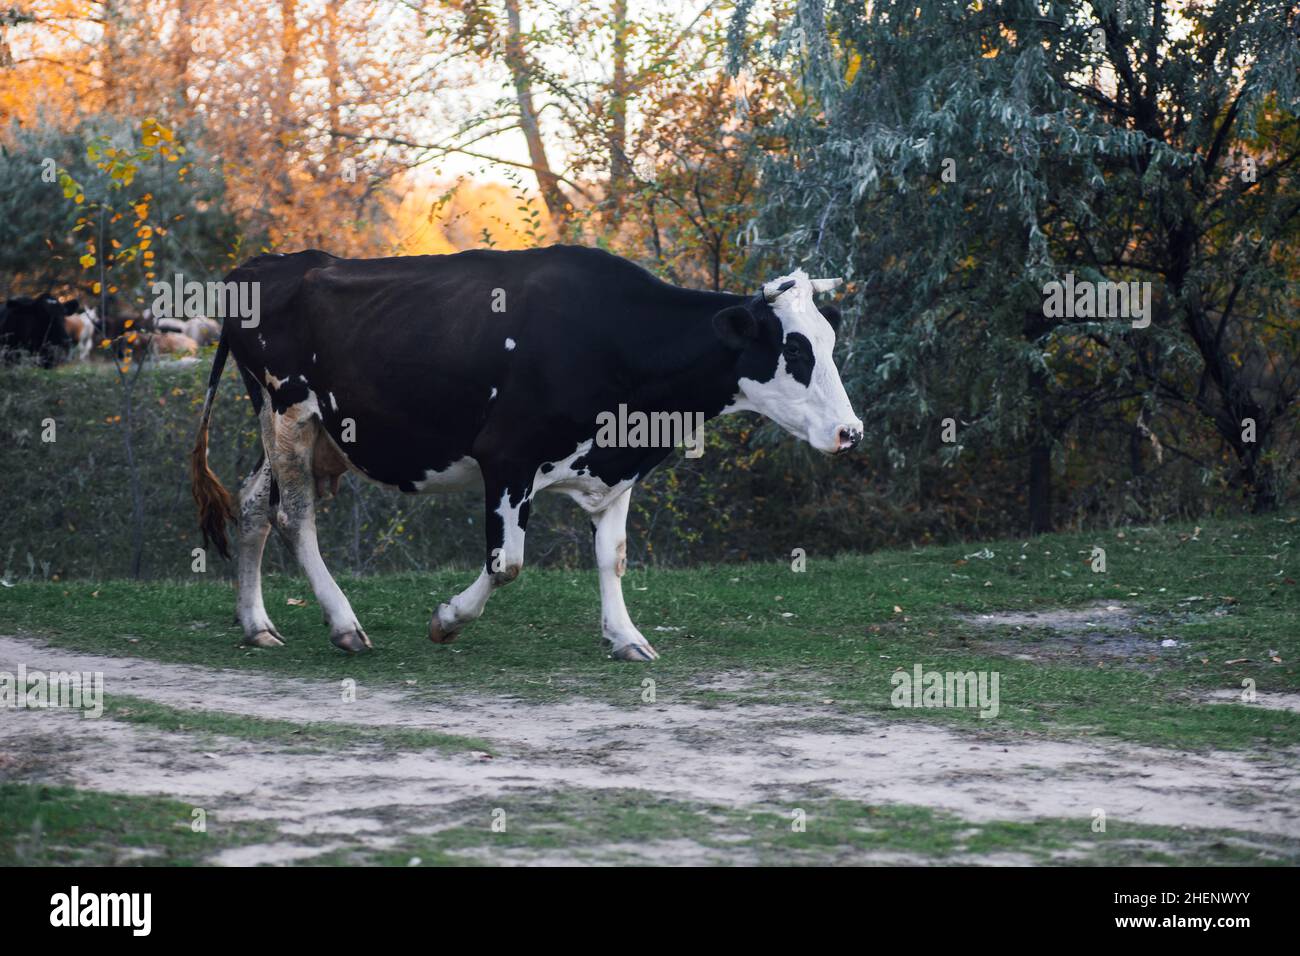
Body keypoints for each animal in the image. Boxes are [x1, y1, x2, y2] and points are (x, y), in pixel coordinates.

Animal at [189, 248, 863, 658]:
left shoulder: (614, 467)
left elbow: (613, 556)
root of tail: (266, 264)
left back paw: (257, 624)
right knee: (293, 516)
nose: (851, 432)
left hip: (298, 430)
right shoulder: (506, 458)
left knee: (253, 506)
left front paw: (625, 636)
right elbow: (506, 562)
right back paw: (344, 624)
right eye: (795, 350)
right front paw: (448, 619)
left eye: (831, 343)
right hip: (289, 413)